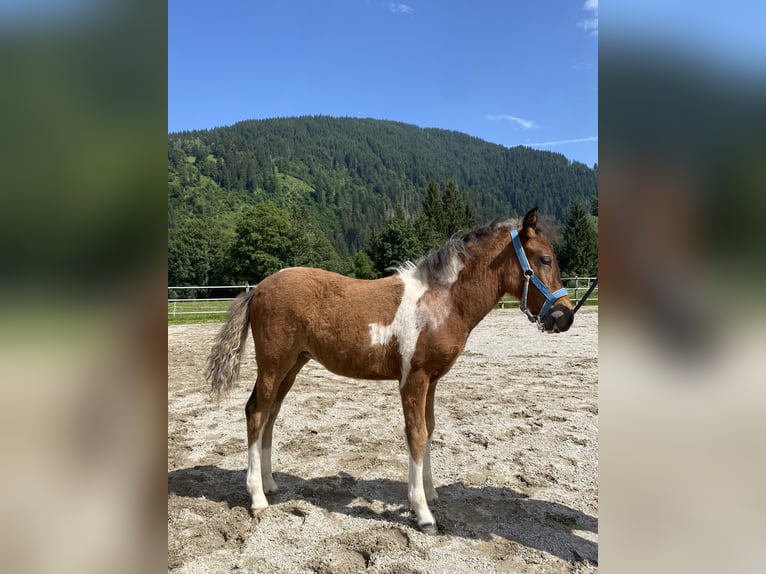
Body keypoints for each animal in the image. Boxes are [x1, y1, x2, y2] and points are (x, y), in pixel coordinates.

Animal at [207, 207, 572, 532]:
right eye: (544, 259)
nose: (564, 316)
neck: (441, 302)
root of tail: (258, 289)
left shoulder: (432, 381)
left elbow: (430, 429)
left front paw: (431, 493)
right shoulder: (413, 379)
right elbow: (416, 434)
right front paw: (422, 513)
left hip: (292, 366)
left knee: (270, 415)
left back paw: (270, 484)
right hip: (273, 364)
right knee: (256, 413)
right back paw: (257, 498)